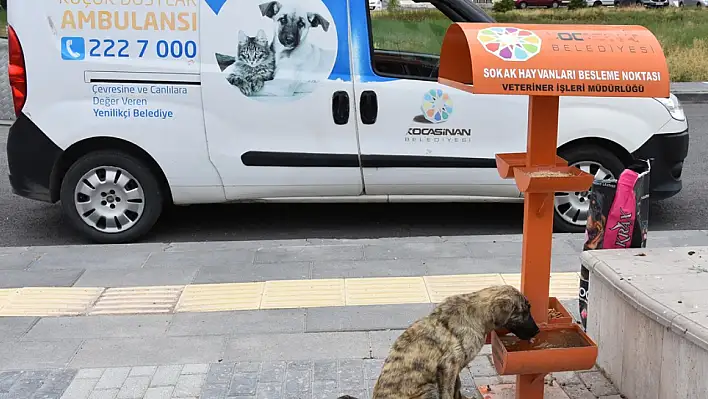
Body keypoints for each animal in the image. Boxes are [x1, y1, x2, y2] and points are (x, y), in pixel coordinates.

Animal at [338, 284, 536, 399]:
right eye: (524, 312)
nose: (537, 330)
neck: (475, 314)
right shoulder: (448, 367)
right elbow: (448, 392)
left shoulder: (454, 369)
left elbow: (457, 388)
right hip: (429, 388)